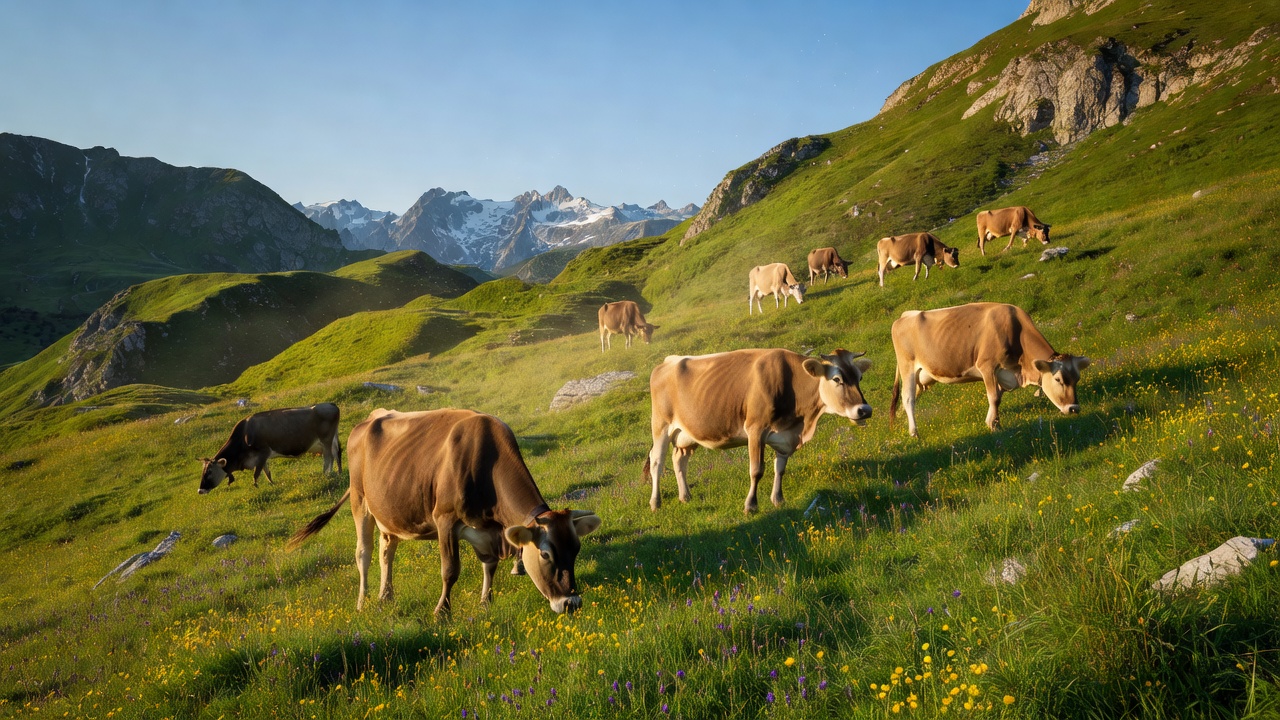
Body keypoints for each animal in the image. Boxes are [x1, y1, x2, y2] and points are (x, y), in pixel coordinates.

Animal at [198, 403, 341, 494]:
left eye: (209, 471)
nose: (200, 490)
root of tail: (331, 404)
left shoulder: (263, 452)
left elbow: (256, 474)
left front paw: (256, 488)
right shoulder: (261, 457)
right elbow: (267, 472)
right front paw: (272, 484)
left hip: (326, 439)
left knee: (328, 456)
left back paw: (326, 474)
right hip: (332, 438)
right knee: (337, 453)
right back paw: (338, 472)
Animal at [287, 408, 603, 617]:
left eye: (576, 549)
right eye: (546, 554)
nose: (571, 604)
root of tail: (370, 417)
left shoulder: (486, 530)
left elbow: (489, 566)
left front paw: (485, 602)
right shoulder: (446, 519)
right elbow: (450, 570)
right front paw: (442, 611)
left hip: (389, 511)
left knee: (386, 551)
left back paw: (385, 597)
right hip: (360, 501)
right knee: (363, 554)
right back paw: (363, 604)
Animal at [644, 348, 872, 514]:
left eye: (860, 377)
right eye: (837, 379)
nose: (865, 410)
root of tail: (668, 361)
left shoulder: (785, 436)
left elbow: (780, 468)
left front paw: (778, 499)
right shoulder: (755, 429)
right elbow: (756, 470)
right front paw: (751, 505)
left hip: (687, 434)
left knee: (679, 459)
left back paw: (685, 496)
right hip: (661, 425)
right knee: (657, 461)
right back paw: (655, 502)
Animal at [888, 302, 1091, 437]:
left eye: (1077, 379)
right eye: (1058, 379)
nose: (1074, 409)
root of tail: (904, 316)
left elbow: (998, 397)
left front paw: (996, 423)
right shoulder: (987, 366)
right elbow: (994, 397)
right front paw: (992, 425)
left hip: (923, 377)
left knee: (908, 399)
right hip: (907, 367)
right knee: (908, 399)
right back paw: (913, 432)